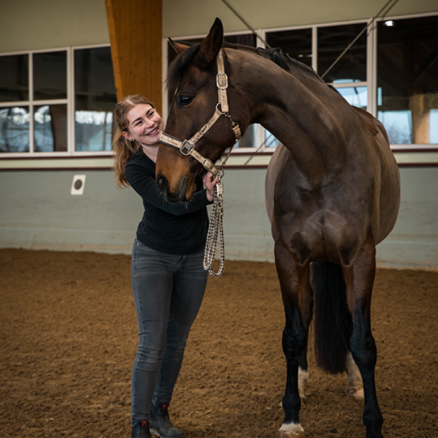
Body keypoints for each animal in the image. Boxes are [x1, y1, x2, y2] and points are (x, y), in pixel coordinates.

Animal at [154, 18, 400, 438]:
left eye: (184, 98)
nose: (163, 178)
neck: (324, 161)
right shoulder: (288, 257)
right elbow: (293, 334)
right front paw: (291, 415)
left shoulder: (360, 257)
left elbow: (363, 341)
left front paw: (373, 421)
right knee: (309, 309)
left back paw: (353, 382)